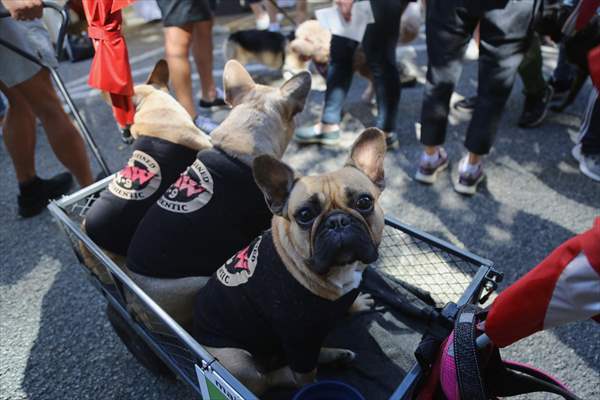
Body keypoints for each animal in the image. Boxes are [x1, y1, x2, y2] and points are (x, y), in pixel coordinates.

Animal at [195, 128, 386, 394]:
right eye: (305, 215)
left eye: (364, 202)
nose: (337, 221)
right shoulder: (299, 340)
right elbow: (305, 375)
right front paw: (313, 387)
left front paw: (357, 304)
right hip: (240, 364)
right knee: (271, 378)